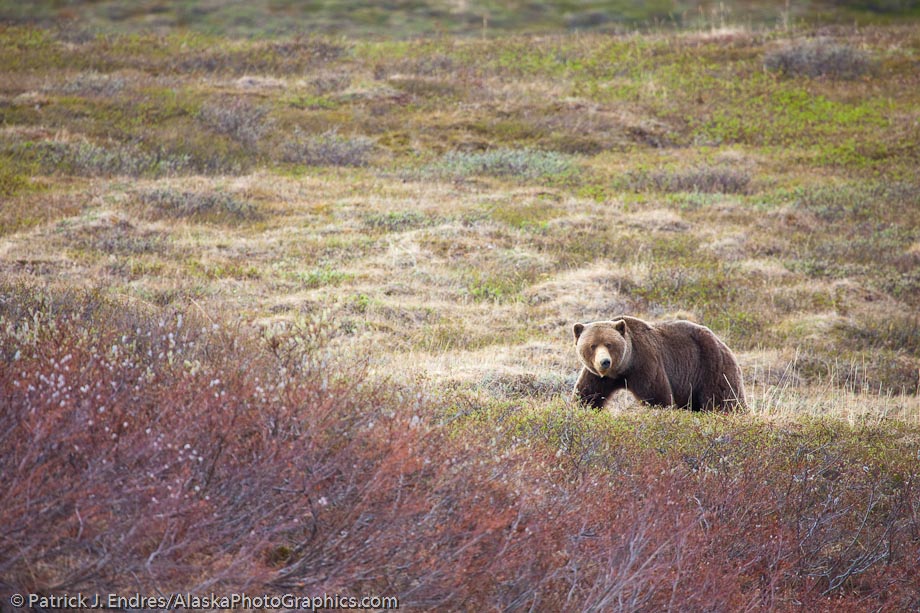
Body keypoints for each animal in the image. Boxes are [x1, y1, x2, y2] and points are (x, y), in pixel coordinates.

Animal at [576, 316, 748, 412]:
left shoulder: (645, 363)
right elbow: (587, 395)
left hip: (711, 367)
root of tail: (723, 344)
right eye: (592, 345)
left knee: (725, 401)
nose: (604, 362)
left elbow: (658, 397)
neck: (623, 368)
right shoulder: (597, 376)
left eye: (609, 344)